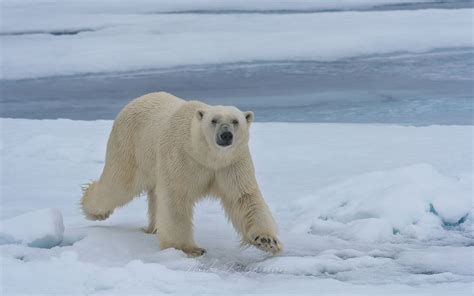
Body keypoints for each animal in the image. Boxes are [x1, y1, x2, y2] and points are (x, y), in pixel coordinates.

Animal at [81, 91, 282, 256]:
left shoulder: (230, 164)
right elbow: (175, 198)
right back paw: (93, 211)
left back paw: (154, 228)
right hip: (129, 146)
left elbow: (244, 197)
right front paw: (187, 248)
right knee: (119, 183)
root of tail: (134, 101)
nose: (226, 135)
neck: (206, 156)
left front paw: (267, 241)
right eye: (214, 120)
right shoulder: (181, 158)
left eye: (236, 121)